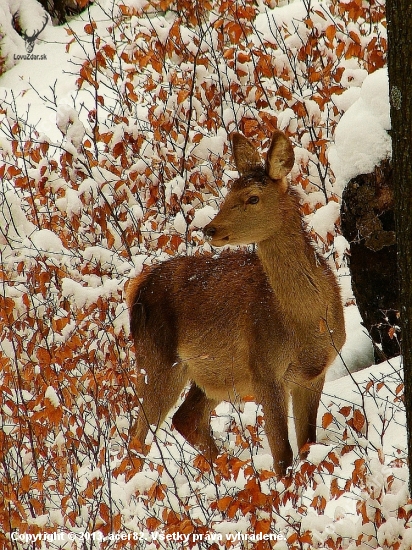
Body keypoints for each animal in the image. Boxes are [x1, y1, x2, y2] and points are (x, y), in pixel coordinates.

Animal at [126, 130, 344, 478]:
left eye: (252, 197)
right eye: (229, 191)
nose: (210, 228)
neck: (306, 322)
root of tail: (137, 287)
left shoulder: (313, 373)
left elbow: (308, 444)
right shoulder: (264, 368)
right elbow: (283, 453)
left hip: (214, 373)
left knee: (185, 419)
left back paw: (224, 471)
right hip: (157, 357)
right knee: (138, 434)